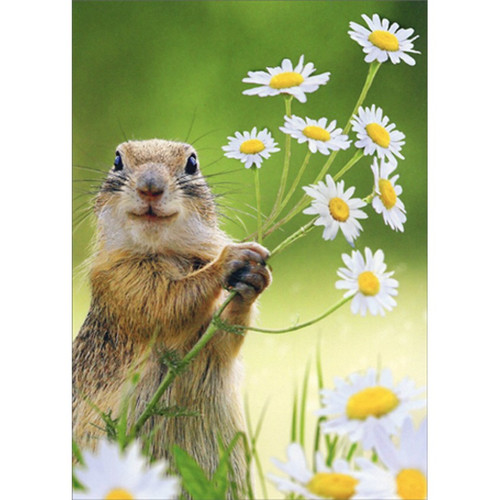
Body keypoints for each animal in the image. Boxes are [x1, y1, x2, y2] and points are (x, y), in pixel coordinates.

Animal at [72, 138, 272, 496]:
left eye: (192, 163)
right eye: (117, 160)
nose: (150, 187)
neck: (164, 252)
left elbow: (223, 338)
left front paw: (253, 277)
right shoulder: (118, 279)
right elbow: (167, 301)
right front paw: (230, 259)